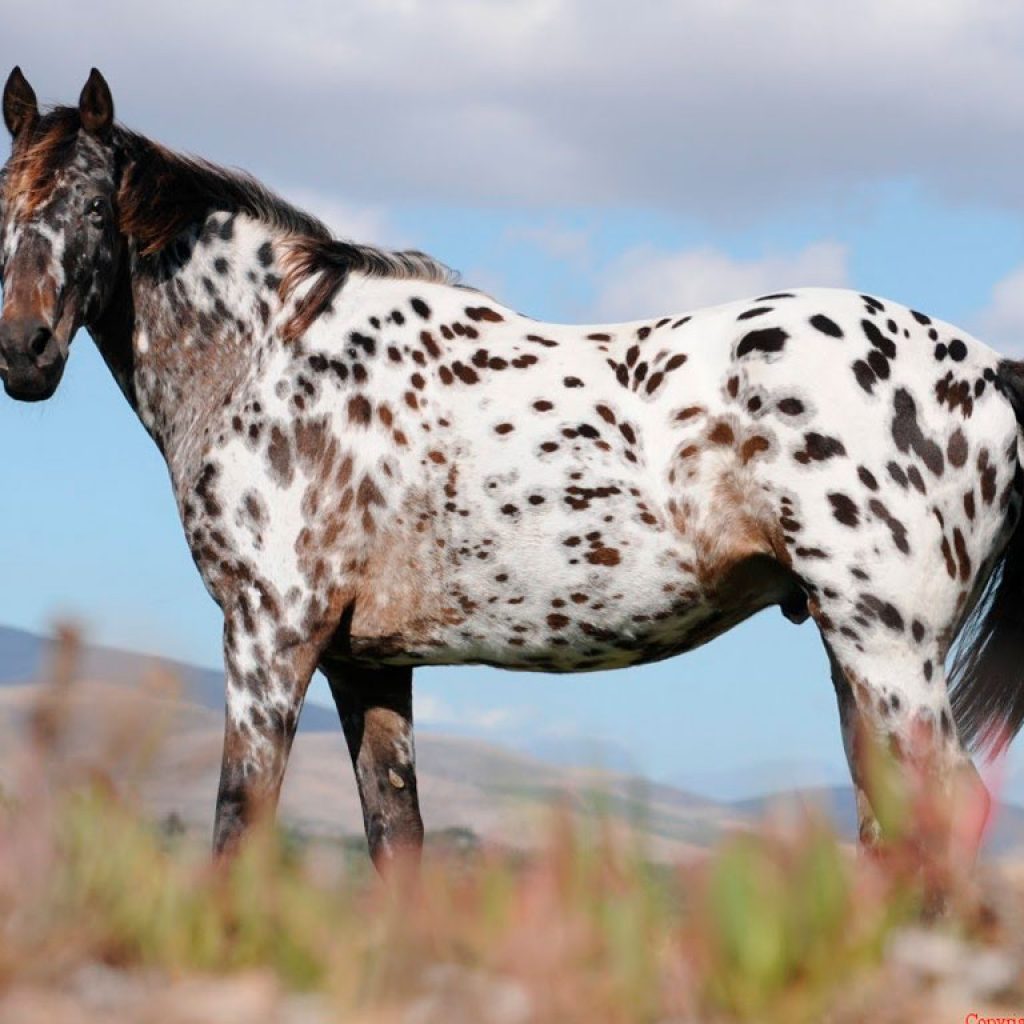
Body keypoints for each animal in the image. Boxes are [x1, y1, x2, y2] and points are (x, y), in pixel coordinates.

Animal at [2, 66, 1024, 864]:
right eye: (1, 207)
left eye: (92, 206)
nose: (24, 351)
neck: (272, 355)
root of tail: (988, 371)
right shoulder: (365, 665)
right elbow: (396, 842)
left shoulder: (269, 637)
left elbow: (237, 827)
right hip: (857, 652)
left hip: (887, 648)